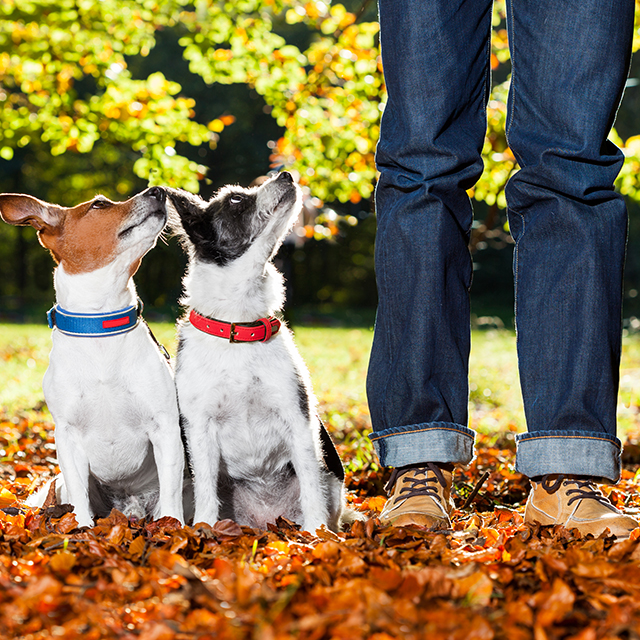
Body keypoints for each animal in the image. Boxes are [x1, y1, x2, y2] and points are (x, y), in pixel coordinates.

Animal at [0, 189, 186, 524]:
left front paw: (173, 527)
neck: (100, 325)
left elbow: (170, 495)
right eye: (99, 204)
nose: (158, 191)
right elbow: (79, 498)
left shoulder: (165, 428)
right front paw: (81, 529)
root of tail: (128, 506)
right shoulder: (67, 437)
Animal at [165, 172, 344, 532]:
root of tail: (264, 520)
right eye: (235, 199)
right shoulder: (199, 428)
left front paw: (316, 534)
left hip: (333, 480)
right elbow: (206, 489)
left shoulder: (298, 420)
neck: (239, 324)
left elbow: (310, 483)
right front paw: (203, 531)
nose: (286, 174)